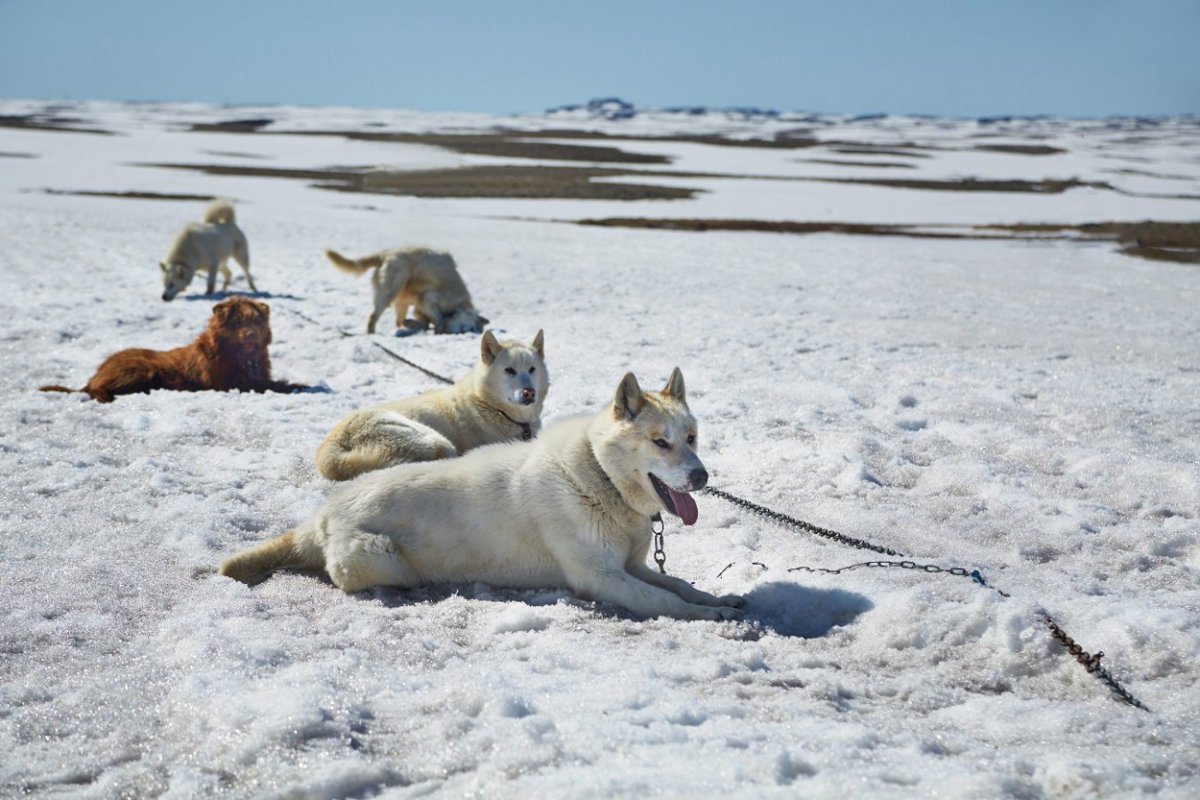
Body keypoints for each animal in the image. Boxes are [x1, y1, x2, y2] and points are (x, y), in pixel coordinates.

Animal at [43, 297, 309, 402]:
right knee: (98, 389)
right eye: (236, 322)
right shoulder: (230, 382)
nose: (251, 335)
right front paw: (298, 386)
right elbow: (271, 384)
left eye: (255, 321)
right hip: (139, 369)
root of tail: (96, 373)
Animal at [216, 369, 739, 623]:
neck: (599, 475)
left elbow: (678, 585)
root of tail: (321, 515)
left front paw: (718, 598)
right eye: (660, 442)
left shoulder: (632, 567)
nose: (701, 477)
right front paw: (708, 615)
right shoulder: (604, 579)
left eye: (691, 437)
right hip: (382, 558)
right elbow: (667, 601)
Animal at [314, 331, 549, 482]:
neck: (490, 405)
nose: (529, 392)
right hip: (434, 440)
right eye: (509, 370)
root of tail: (331, 451)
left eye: (532, 369)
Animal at [328, 247, 487, 335]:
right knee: (373, 317)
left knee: (398, 320)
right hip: (390, 291)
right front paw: (438, 328)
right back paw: (372, 333)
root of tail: (386, 254)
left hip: (401, 301)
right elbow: (437, 319)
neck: (459, 304)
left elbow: (424, 322)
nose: (465, 331)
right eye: (471, 327)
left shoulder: (421, 309)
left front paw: (413, 324)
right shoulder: (427, 300)